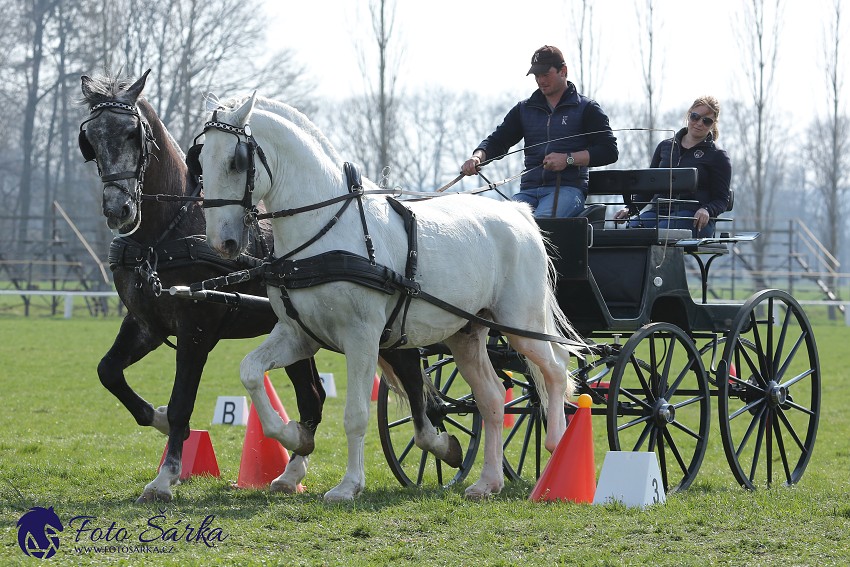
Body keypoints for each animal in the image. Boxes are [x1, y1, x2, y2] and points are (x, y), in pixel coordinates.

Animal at [195, 93, 580, 502]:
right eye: (201, 161)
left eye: (236, 161)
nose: (222, 242)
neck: (327, 231)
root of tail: (518, 213)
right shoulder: (298, 335)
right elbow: (250, 372)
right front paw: (295, 438)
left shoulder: (361, 338)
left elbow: (355, 415)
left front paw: (348, 485)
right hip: (467, 333)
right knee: (491, 397)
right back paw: (487, 481)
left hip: (520, 324)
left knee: (555, 369)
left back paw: (557, 444)